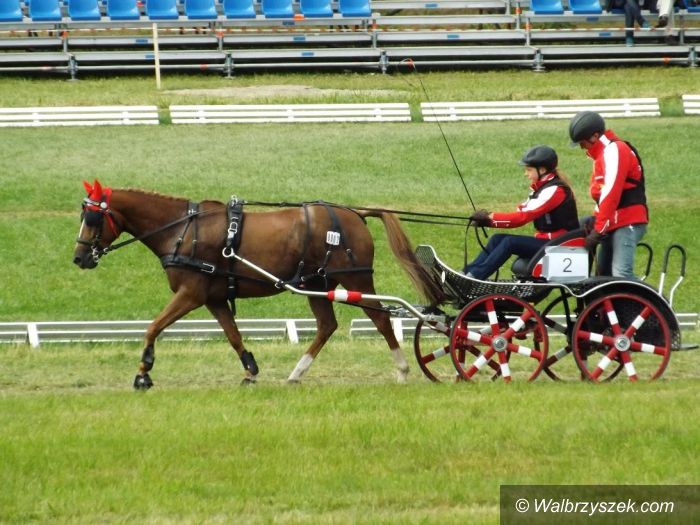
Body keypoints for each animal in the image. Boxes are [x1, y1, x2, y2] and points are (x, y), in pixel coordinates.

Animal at [73, 180, 445, 388]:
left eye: (92, 218)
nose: (79, 258)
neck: (182, 230)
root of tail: (355, 213)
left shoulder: (190, 293)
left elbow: (153, 327)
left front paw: (143, 371)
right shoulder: (213, 298)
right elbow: (233, 334)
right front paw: (250, 370)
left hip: (355, 277)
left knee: (381, 318)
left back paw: (402, 369)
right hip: (316, 283)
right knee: (327, 326)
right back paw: (296, 373)